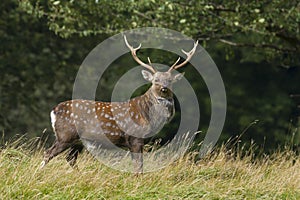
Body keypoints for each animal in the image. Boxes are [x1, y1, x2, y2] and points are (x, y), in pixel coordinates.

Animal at [41, 36, 198, 173]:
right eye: (155, 80)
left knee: (70, 158)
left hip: (77, 141)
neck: (148, 116)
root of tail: (54, 110)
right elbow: (138, 167)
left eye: (170, 80)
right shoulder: (136, 138)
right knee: (48, 154)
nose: (164, 88)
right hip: (65, 135)